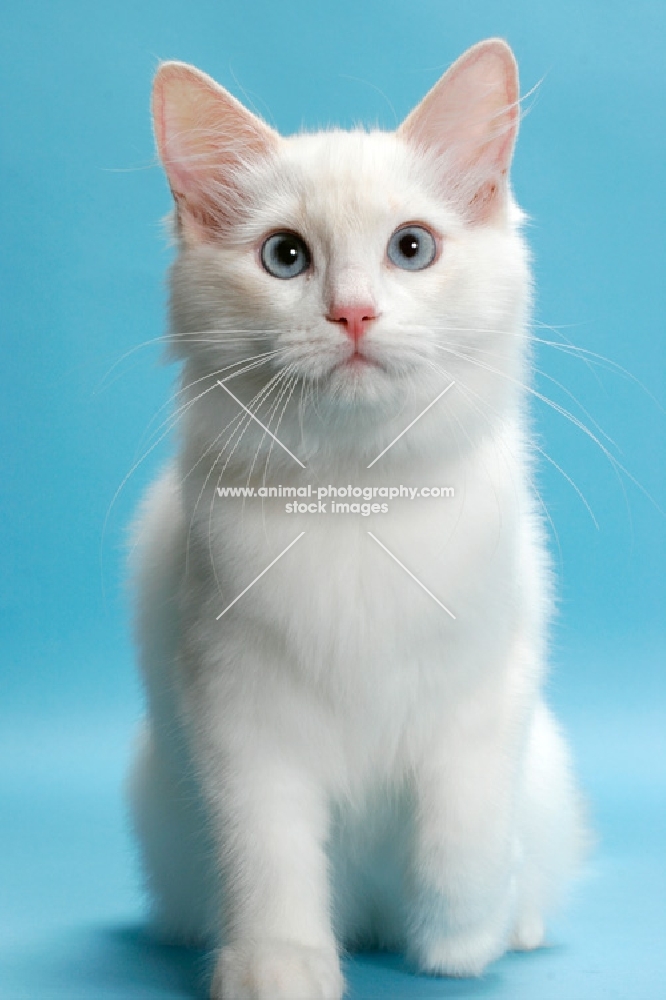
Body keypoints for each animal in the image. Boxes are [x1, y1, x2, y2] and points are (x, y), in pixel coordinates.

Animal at [128, 39, 580, 1000]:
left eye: (412, 248)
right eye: (285, 256)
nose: (354, 312)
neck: (357, 495)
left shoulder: (488, 695)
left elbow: (465, 836)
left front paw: (460, 944)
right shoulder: (237, 712)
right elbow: (270, 856)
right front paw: (279, 966)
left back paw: (510, 926)